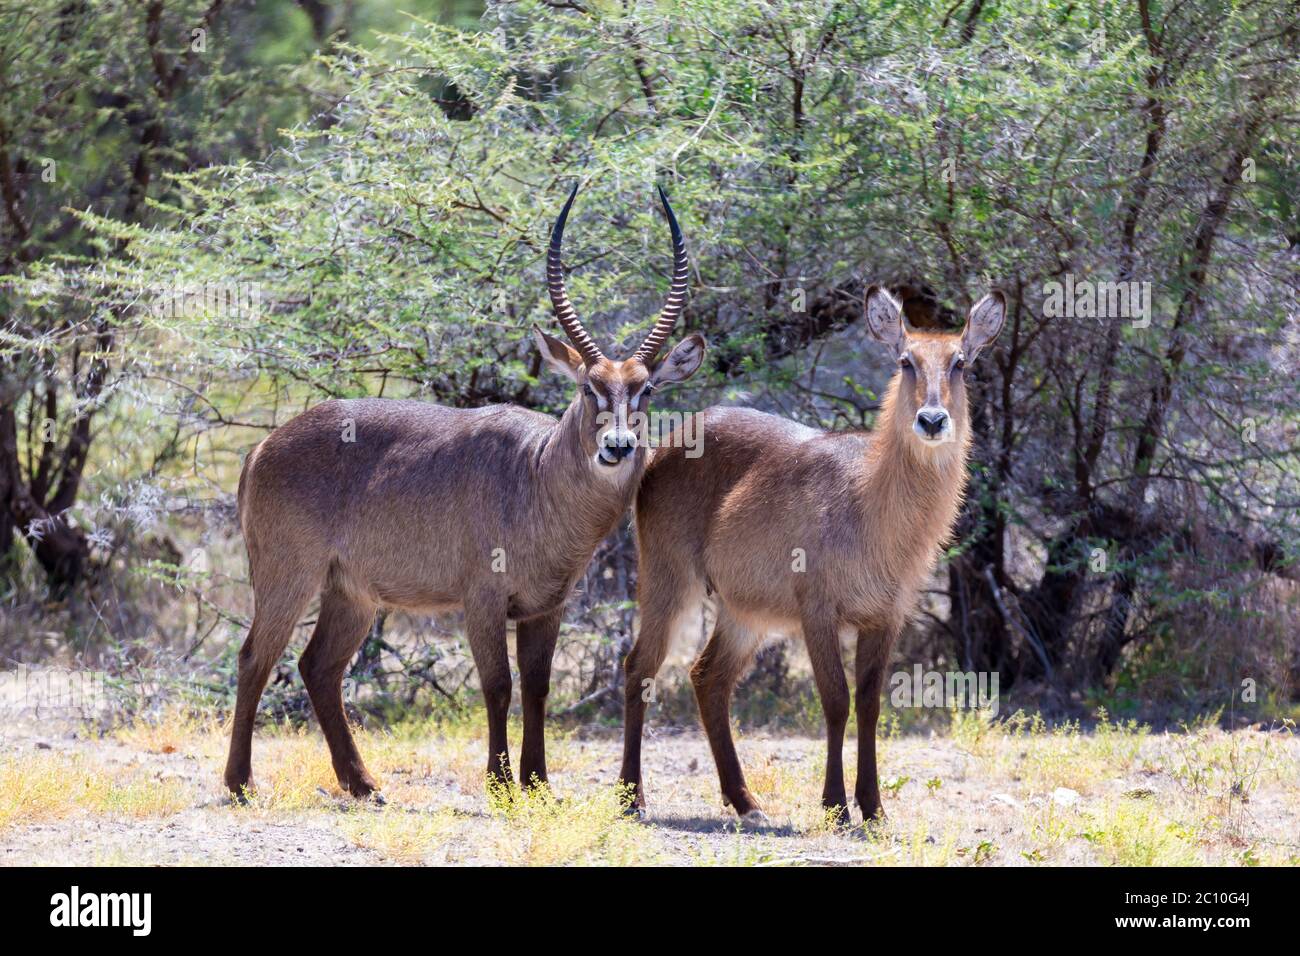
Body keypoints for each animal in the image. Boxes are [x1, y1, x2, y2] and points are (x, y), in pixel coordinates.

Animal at [227, 184, 707, 801]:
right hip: (288, 576)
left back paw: (363, 784)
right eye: (587, 387)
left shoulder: (546, 606)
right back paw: (241, 783)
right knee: (255, 658)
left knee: (318, 667)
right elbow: (498, 684)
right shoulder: (482, 599)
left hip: (351, 592)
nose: (618, 447)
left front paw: (537, 784)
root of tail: (263, 447)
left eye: (645, 389)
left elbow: (538, 686)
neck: (536, 474)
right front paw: (501, 784)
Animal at [618, 283, 1003, 822]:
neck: (871, 503)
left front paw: (874, 808)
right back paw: (631, 797)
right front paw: (835, 805)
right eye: (905, 360)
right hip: (669, 581)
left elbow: (869, 704)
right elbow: (836, 699)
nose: (931, 420)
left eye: (960, 363)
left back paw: (746, 803)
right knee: (640, 668)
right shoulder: (818, 610)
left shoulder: (886, 617)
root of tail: (673, 438)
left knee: (707, 677)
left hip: (744, 610)